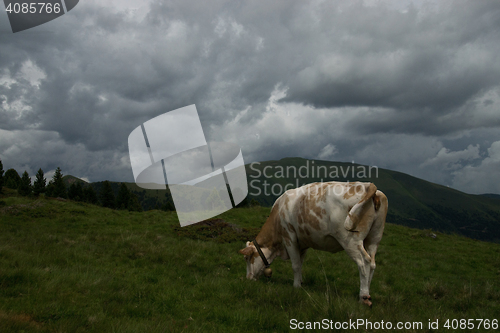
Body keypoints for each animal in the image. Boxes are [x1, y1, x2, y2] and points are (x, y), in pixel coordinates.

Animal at [240, 180, 388, 304]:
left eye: (247, 258)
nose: (248, 278)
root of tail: (367, 185)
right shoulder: (303, 243)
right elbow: (300, 263)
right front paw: (300, 282)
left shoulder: (289, 237)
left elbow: (295, 265)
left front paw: (296, 286)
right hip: (374, 239)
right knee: (372, 263)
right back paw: (368, 290)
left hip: (350, 239)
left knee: (364, 262)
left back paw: (363, 296)